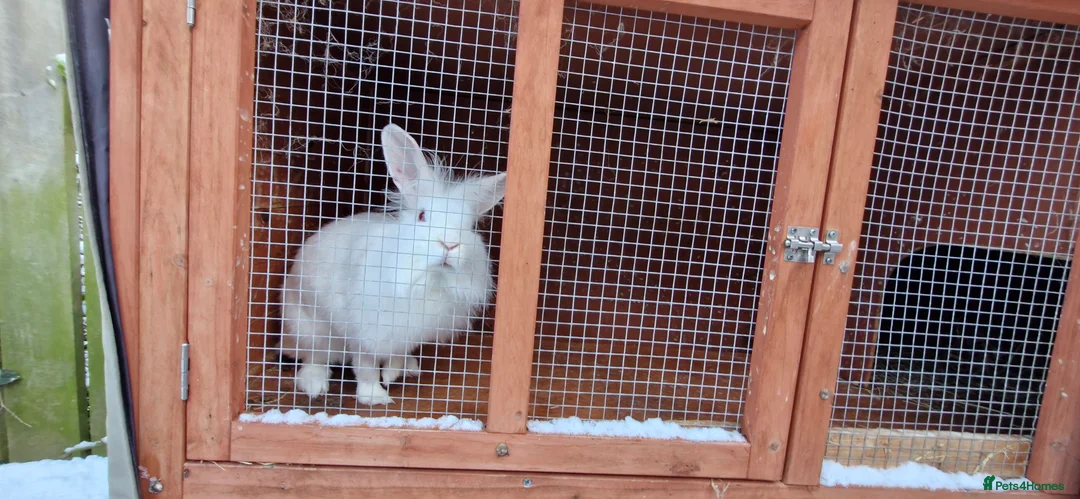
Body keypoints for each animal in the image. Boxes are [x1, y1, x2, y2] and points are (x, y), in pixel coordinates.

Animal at [277, 123, 507, 406]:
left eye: (470, 226)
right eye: (422, 216)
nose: (450, 244)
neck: (426, 279)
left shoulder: (406, 333)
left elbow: (396, 355)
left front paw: (394, 373)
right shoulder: (365, 331)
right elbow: (365, 367)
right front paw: (375, 397)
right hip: (310, 327)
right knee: (315, 357)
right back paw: (314, 385)